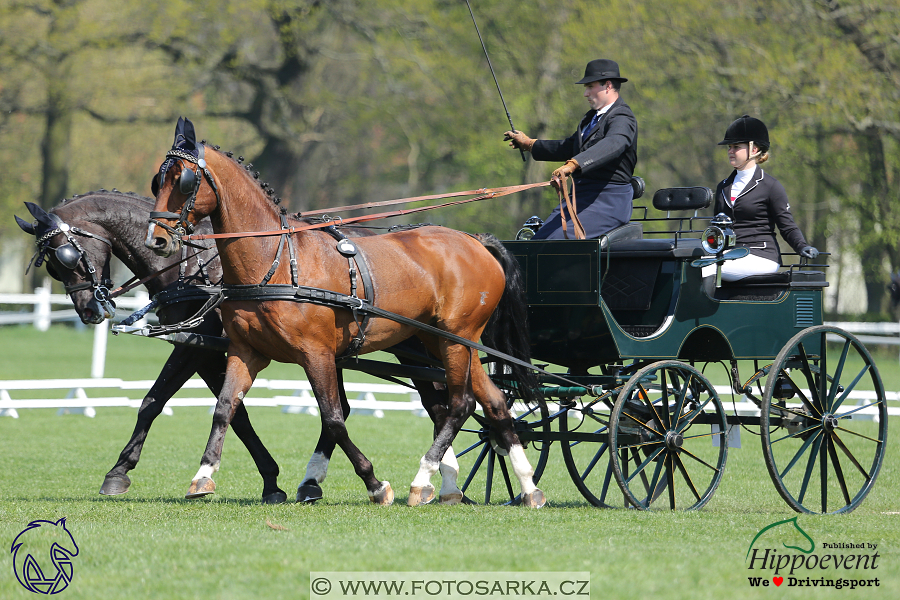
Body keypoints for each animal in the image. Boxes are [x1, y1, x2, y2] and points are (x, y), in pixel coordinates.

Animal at [147, 118, 540, 506]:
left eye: (183, 180)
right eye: (157, 181)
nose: (157, 239)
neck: (276, 260)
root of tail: (474, 240)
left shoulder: (317, 353)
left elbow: (334, 418)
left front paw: (375, 484)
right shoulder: (247, 351)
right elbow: (225, 408)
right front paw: (203, 476)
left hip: (457, 340)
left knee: (460, 404)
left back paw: (423, 479)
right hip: (442, 341)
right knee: (494, 404)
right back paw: (527, 487)